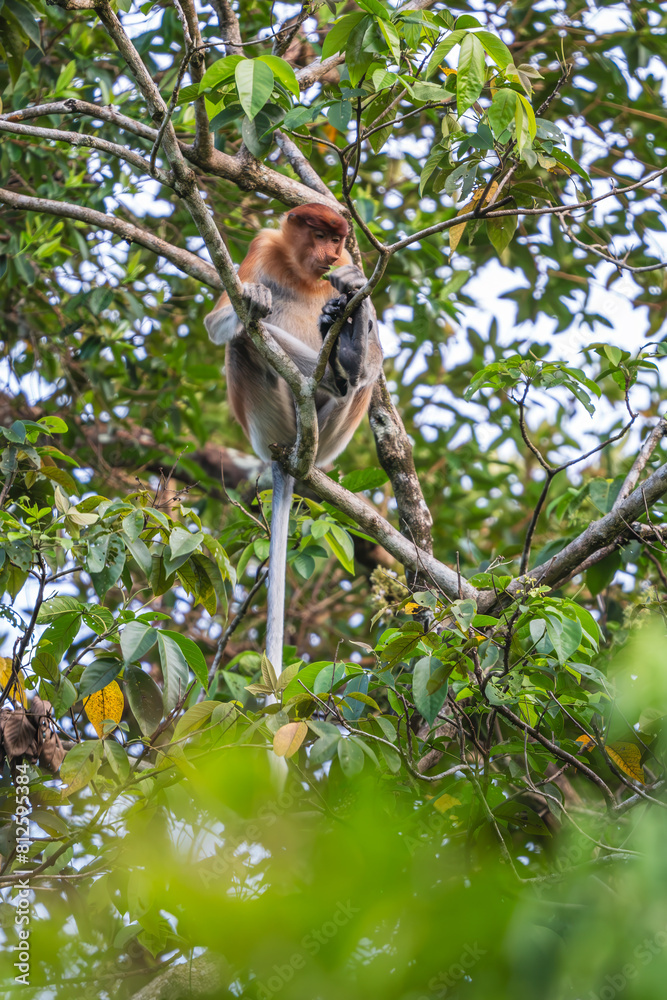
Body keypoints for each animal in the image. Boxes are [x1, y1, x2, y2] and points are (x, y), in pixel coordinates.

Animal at [205, 203, 383, 676]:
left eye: (337, 241)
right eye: (318, 234)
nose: (330, 254)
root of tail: (291, 452)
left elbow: (378, 352)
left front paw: (350, 297)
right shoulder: (262, 245)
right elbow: (218, 321)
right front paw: (255, 297)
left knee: (364, 380)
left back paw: (346, 358)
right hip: (265, 421)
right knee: (243, 340)